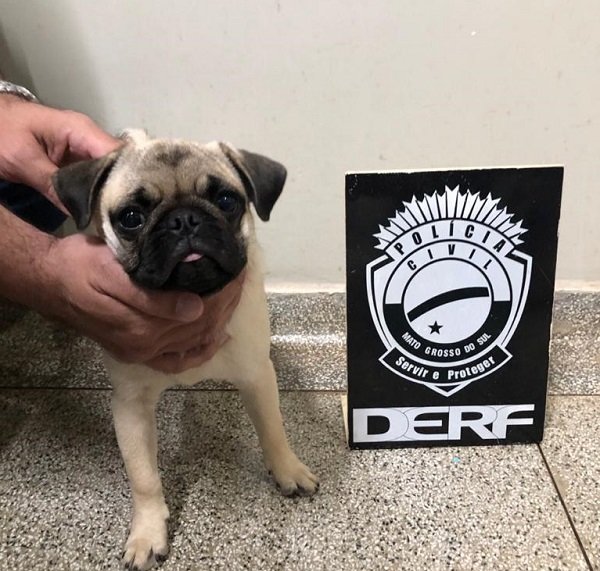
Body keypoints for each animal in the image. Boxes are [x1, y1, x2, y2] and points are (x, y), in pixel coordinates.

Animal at [52, 130, 319, 570]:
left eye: (226, 200)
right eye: (131, 217)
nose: (185, 220)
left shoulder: (256, 375)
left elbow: (273, 429)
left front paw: (287, 470)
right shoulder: (130, 406)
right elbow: (143, 477)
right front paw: (148, 532)